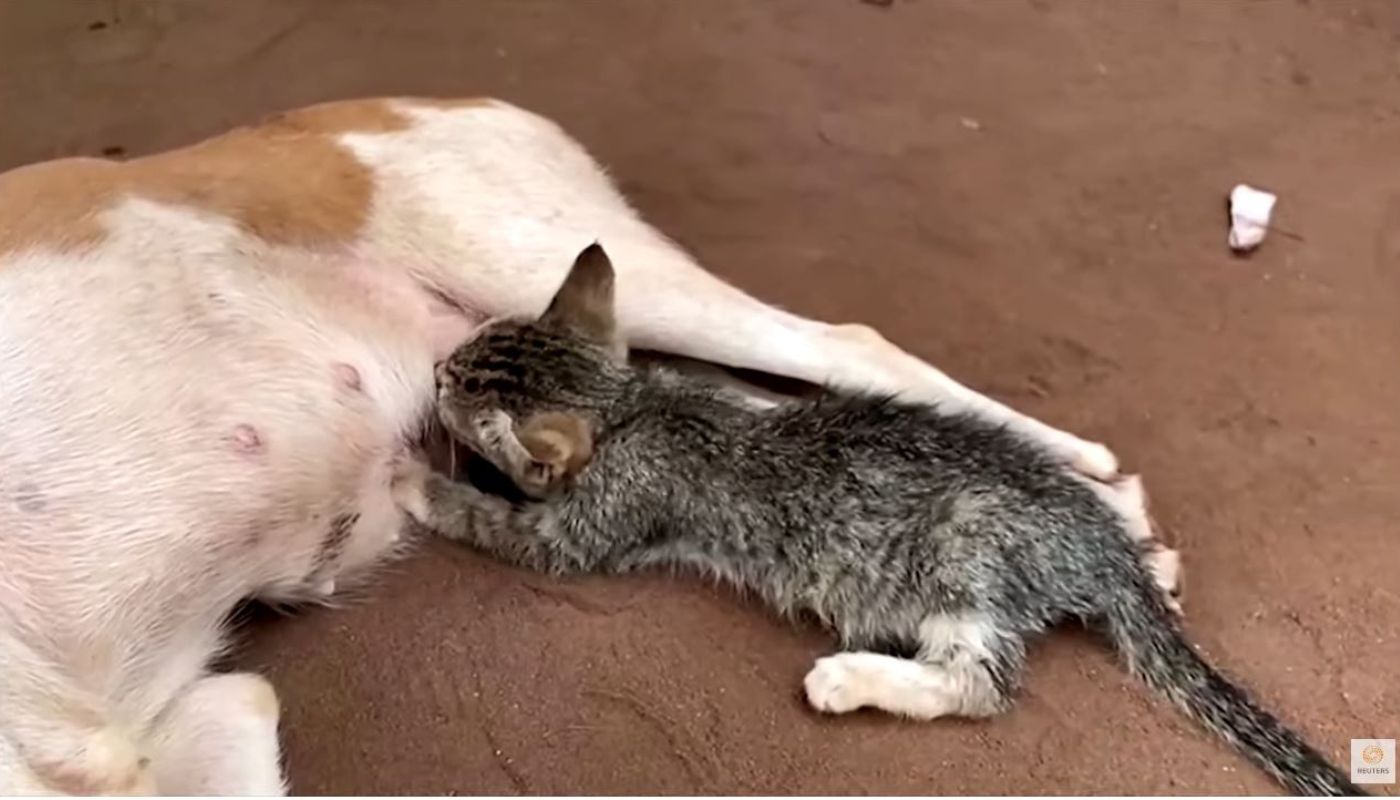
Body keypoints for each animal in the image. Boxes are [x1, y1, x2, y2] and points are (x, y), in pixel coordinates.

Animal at [0, 98, 1164, 795]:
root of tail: (446, 100)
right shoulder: (198, 716)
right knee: (756, 410)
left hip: (545, 261)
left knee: (846, 346)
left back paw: (1116, 519)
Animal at [400, 247, 1360, 795]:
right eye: (468, 353)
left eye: (460, 392)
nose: (437, 368)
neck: (635, 404)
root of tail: (1096, 548)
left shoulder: (594, 523)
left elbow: (499, 521)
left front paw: (411, 483)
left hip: (965, 557)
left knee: (980, 685)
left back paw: (851, 678)